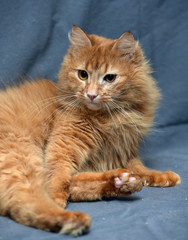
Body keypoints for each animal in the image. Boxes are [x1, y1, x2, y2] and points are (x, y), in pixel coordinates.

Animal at [0, 25, 180, 236]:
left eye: (110, 78)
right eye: (83, 75)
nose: (91, 94)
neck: (106, 120)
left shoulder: (121, 151)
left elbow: (139, 167)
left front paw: (160, 176)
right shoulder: (62, 147)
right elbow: (58, 178)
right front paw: (56, 198)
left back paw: (121, 181)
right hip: (21, 156)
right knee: (27, 202)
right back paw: (73, 218)